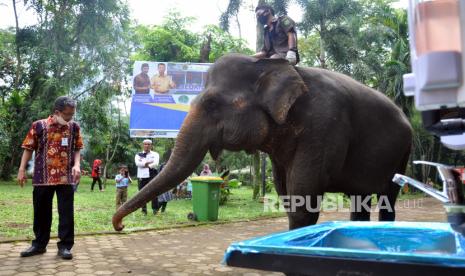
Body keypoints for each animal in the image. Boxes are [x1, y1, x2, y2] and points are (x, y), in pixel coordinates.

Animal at [114, 54, 412, 231]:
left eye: (211, 104)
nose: (120, 226)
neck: (270, 67)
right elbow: (286, 193)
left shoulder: (325, 125)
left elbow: (303, 195)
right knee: (360, 200)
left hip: (402, 154)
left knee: (388, 198)